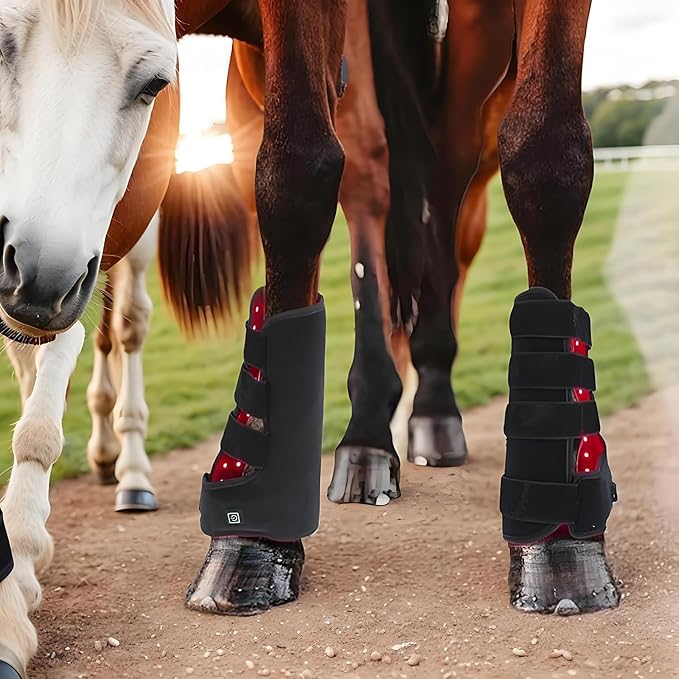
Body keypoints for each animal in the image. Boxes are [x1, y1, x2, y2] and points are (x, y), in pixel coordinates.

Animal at [0, 0, 619, 676]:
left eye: (154, 84)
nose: (38, 277)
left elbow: (543, 159)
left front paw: (560, 550)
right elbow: (292, 183)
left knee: (440, 177)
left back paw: (421, 414)